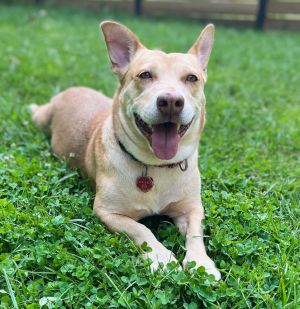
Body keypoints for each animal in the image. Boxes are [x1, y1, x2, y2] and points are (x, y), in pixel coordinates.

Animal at [31, 21, 220, 280]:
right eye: (145, 75)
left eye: (192, 78)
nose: (171, 101)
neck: (155, 166)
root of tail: (73, 89)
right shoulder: (107, 212)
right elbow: (140, 229)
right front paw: (160, 257)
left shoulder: (192, 208)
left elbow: (196, 233)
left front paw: (201, 263)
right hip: (42, 117)